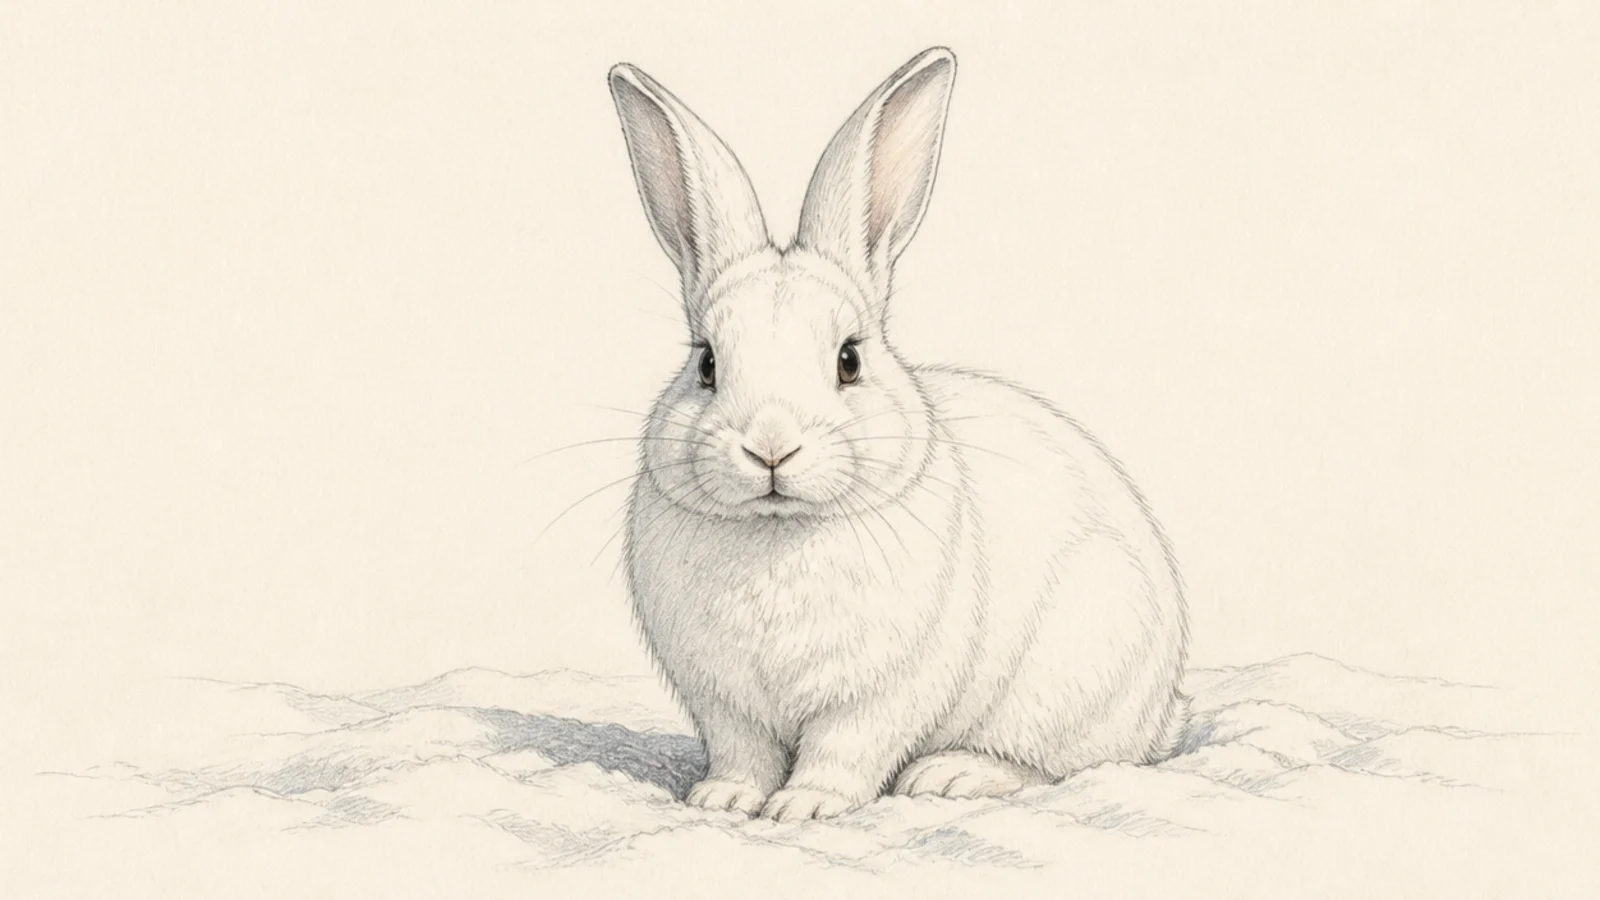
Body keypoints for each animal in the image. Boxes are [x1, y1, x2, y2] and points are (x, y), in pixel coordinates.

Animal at [608, 46, 1189, 823]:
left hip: (1080, 665)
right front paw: (724, 798)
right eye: (706, 363)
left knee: (1057, 764)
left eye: (849, 360)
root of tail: (1165, 712)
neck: (778, 534)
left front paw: (805, 805)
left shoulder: (878, 695)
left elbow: (843, 751)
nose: (770, 448)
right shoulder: (726, 703)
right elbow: (744, 754)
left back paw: (952, 775)